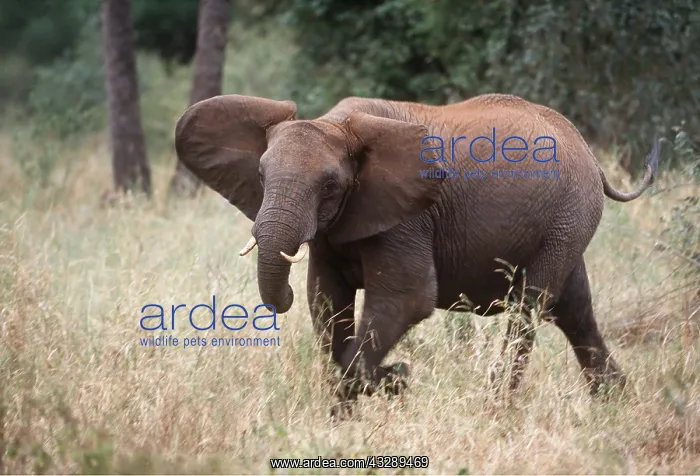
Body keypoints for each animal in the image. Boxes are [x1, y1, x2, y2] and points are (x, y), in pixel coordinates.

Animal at [174, 93, 659, 408]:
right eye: (259, 174)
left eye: (329, 186)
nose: (403, 373)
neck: (337, 125)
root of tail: (591, 156)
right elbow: (325, 301)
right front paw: (359, 403)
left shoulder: (407, 216)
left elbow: (407, 299)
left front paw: (394, 381)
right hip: (566, 223)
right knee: (574, 310)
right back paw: (616, 405)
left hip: (568, 215)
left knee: (531, 307)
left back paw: (497, 408)